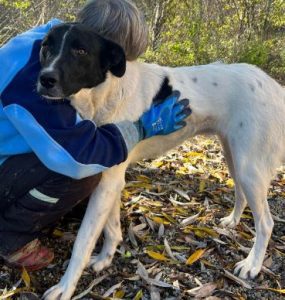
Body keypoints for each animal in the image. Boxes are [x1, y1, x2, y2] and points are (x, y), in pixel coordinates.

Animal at [37, 24, 284, 300]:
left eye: (80, 50)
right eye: (46, 46)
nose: (45, 79)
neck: (108, 93)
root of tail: (276, 88)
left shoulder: (109, 181)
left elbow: (82, 242)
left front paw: (65, 288)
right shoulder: (111, 179)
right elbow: (111, 226)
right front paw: (105, 259)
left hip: (249, 167)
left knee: (266, 222)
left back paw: (252, 265)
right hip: (235, 156)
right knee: (241, 194)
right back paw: (232, 221)